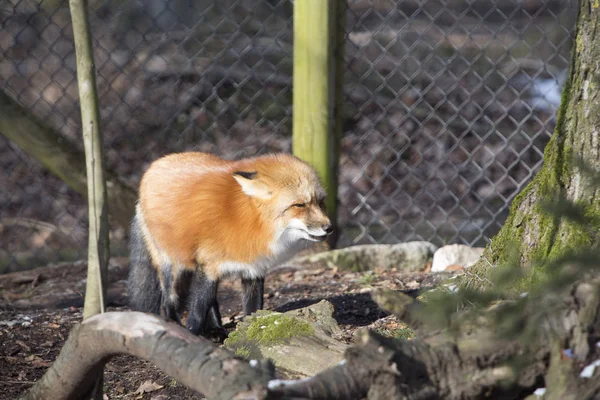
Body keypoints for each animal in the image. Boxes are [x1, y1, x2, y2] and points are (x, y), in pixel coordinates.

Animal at [127, 152, 332, 338]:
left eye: (321, 202)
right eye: (299, 205)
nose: (329, 228)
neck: (251, 221)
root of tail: (156, 164)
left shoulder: (253, 270)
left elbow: (252, 310)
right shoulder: (209, 266)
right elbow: (197, 311)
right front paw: (193, 335)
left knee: (211, 300)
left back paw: (216, 329)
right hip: (174, 268)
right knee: (168, 302)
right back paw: (176, 326)